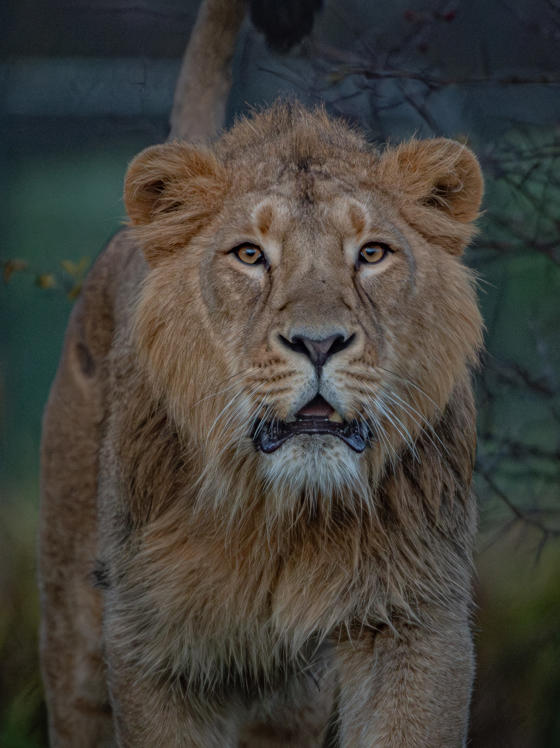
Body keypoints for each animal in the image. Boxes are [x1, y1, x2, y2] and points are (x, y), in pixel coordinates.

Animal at [39, 0, 484, 745]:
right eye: (249, 254)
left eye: (372, 253)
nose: (319, 342)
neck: (280, 515)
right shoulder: (151, 642)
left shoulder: (413, 617)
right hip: (75, 628)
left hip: (292, 698)